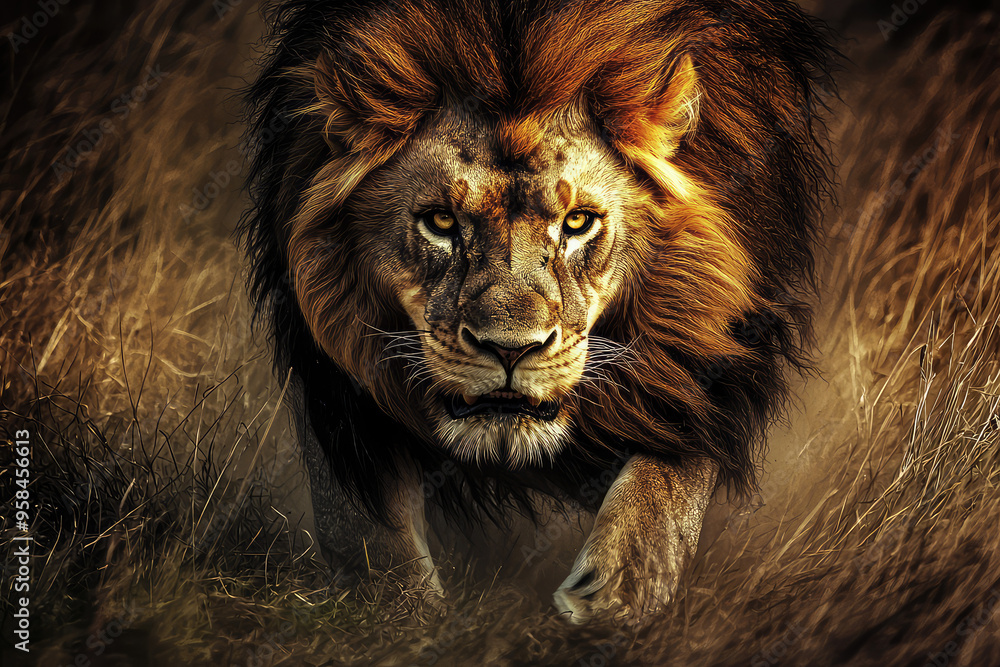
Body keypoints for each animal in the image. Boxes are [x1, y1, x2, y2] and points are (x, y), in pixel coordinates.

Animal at [240, 0, 836, 623]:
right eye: (441, 221)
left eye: (577, 222)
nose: (511, 350)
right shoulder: (328, 378)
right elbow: (360, 526)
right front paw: (398, 613)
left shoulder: (708, 353)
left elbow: (669, 475)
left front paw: (621, 592)